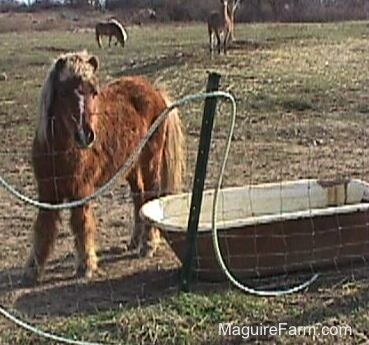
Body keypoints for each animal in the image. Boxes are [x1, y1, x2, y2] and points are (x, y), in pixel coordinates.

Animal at [23, 50, 184, 282]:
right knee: (138, 197)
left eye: (94, 92)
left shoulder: (80, 192)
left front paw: (86, 266)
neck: (59, 151)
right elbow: (43, 228)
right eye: (64, 93)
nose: (86, 135)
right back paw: (135, 241)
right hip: (131, 166)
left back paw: (148, 244)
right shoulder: (47, 194)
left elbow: (82, 224)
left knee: (150, 195)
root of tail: (155, 91)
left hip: (150, 161)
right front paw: (32, 270)